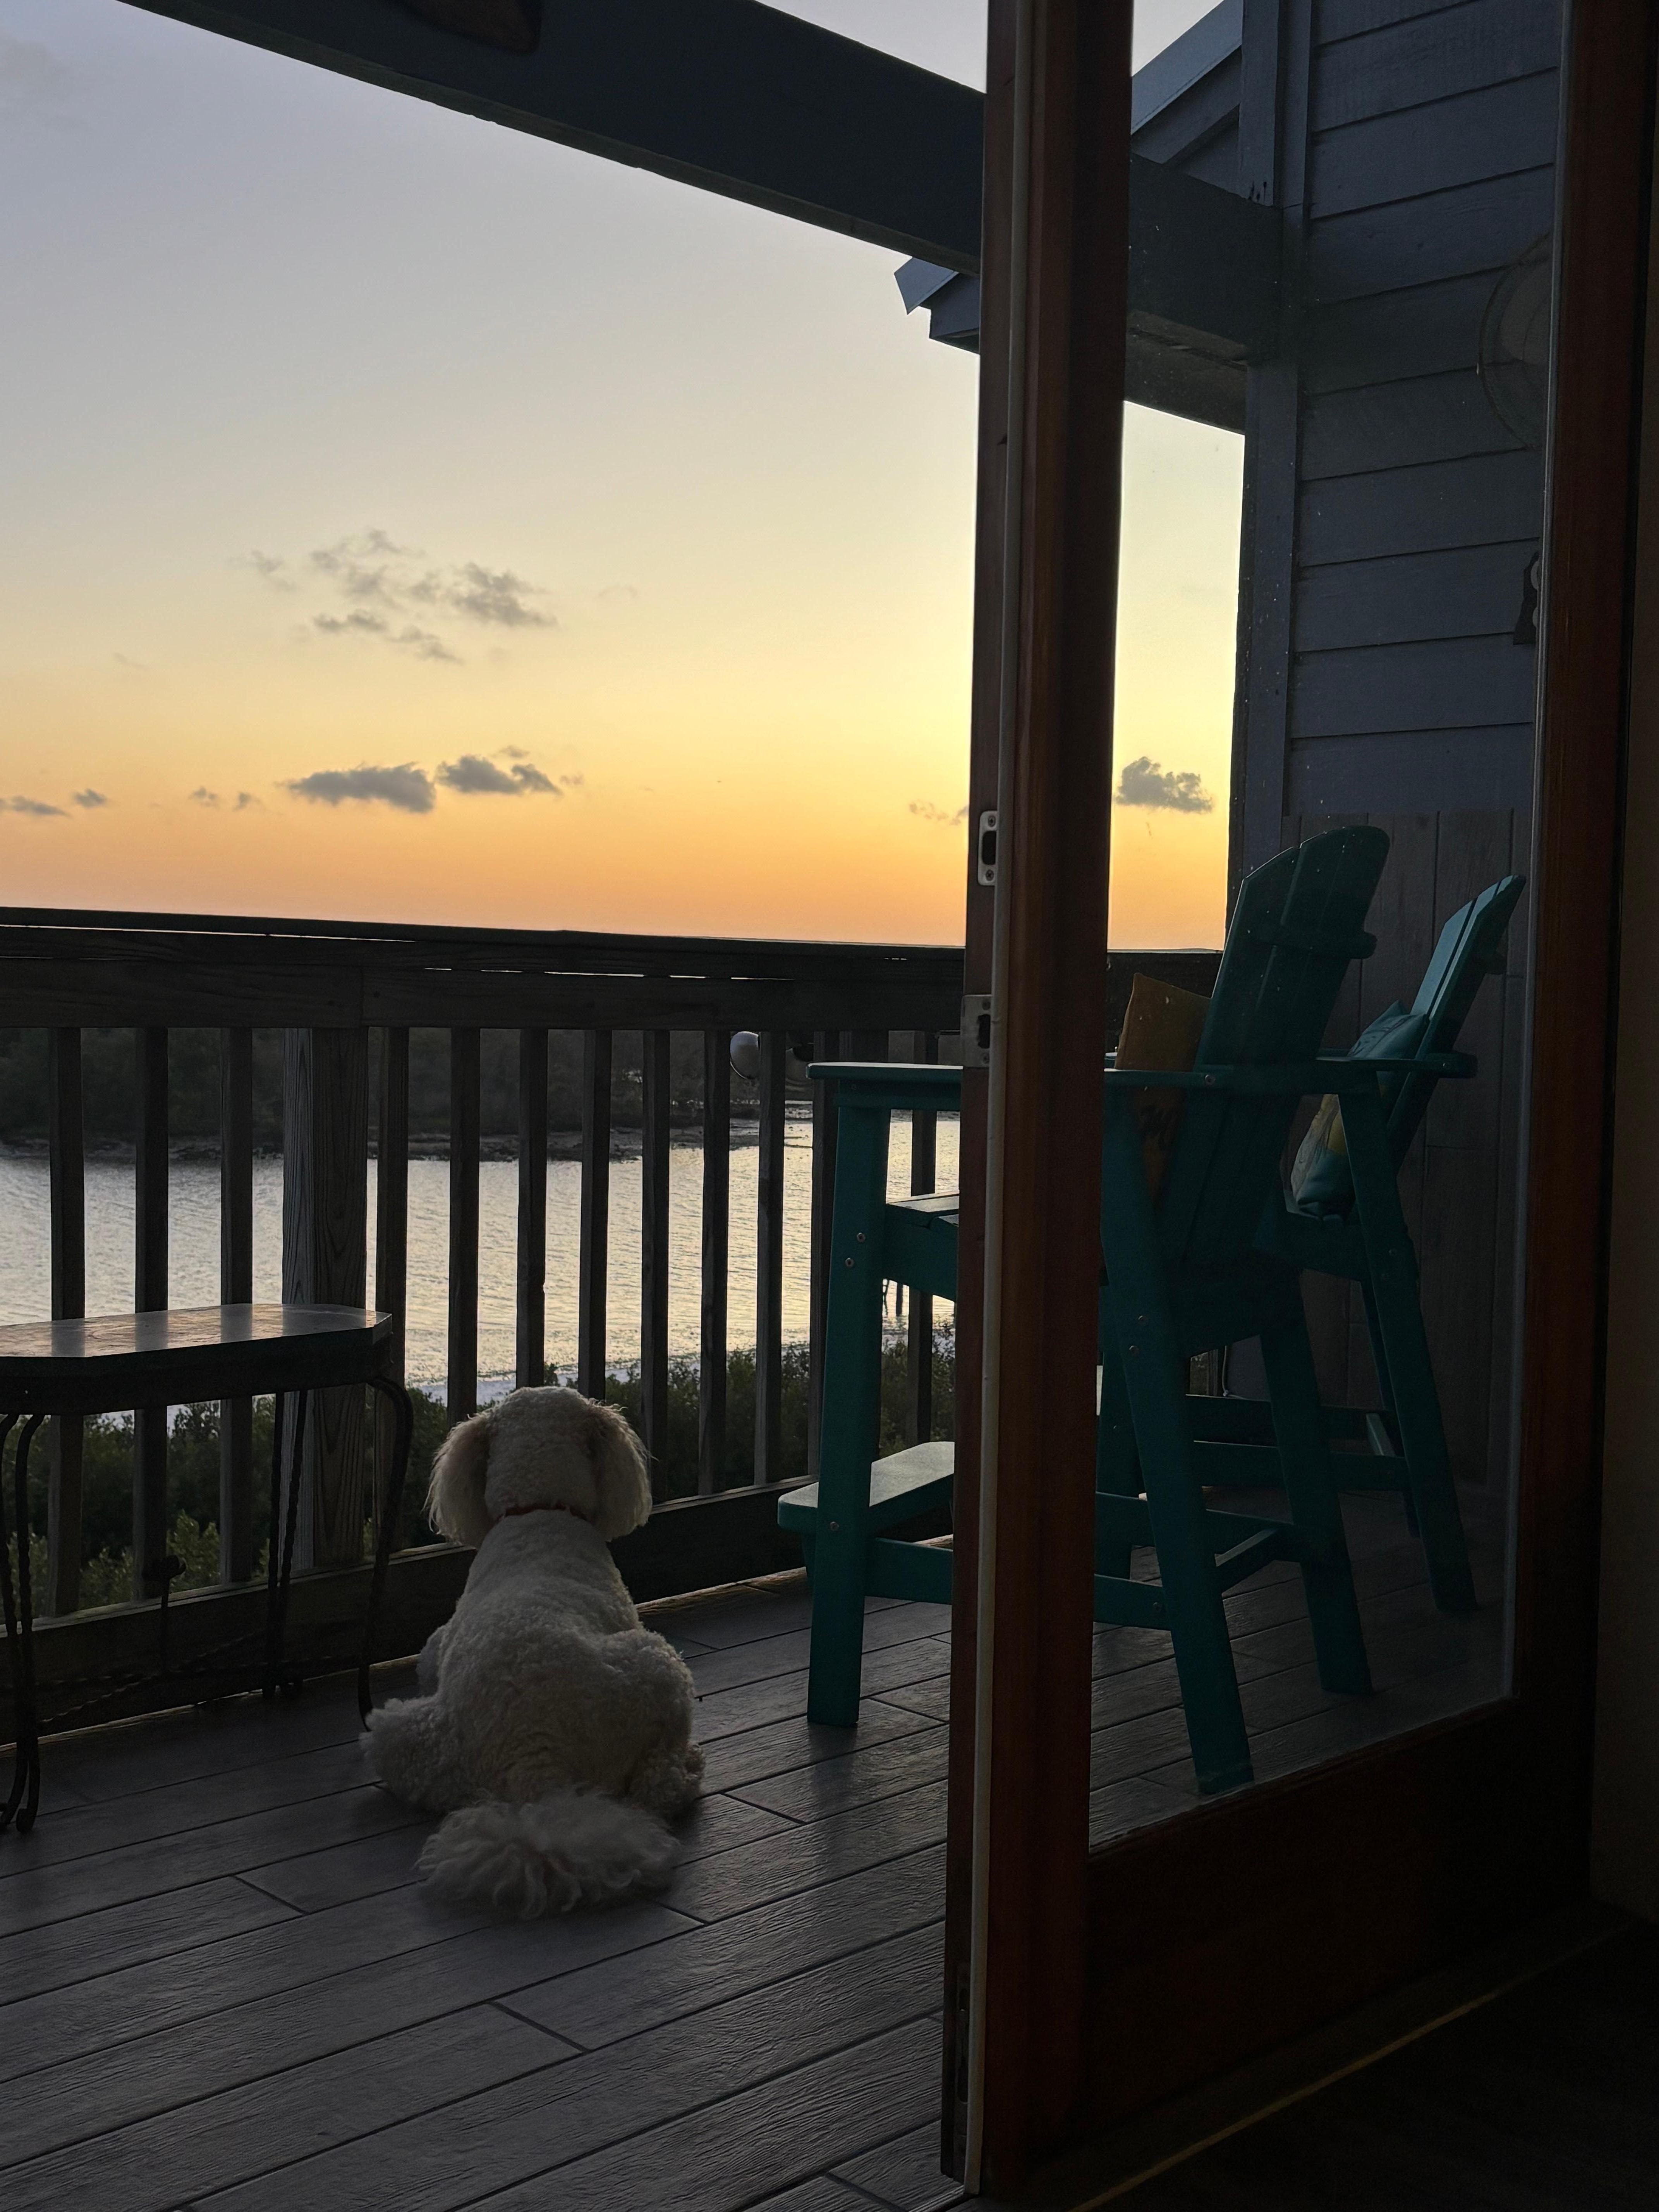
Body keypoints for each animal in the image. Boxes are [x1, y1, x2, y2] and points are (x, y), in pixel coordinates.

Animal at [365, 1385, 704, 1916]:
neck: (540, 1507)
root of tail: (533, 1763)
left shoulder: (437, 1647)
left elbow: (430, 1658)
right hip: (657, 1661)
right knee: (659, 1783)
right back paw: (686, 1769)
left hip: (397, 1734)